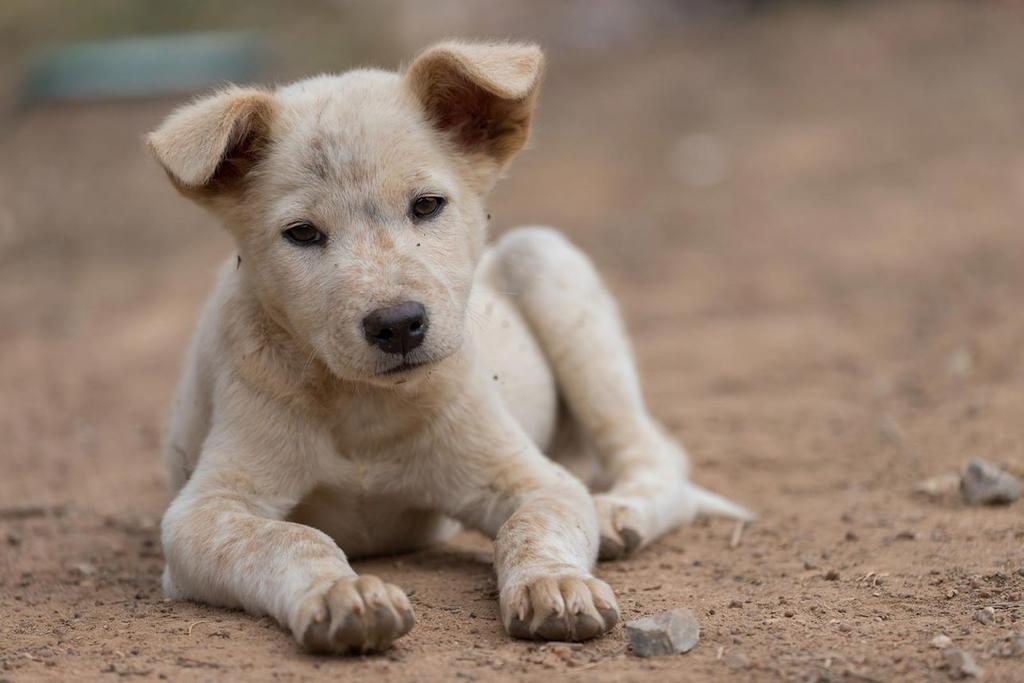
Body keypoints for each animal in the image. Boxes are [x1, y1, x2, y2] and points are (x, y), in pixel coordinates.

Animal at [148, 40, 749, 655]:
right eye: (302, 234)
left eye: (426, 205)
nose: (397, 325)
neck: (365, 407)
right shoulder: (204, 512)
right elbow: (292, 538)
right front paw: (345, 595)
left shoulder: (533, 479)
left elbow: (529, 526)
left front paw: (555, 586)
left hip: (548, 263)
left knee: (655, 456)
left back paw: (616, 514)